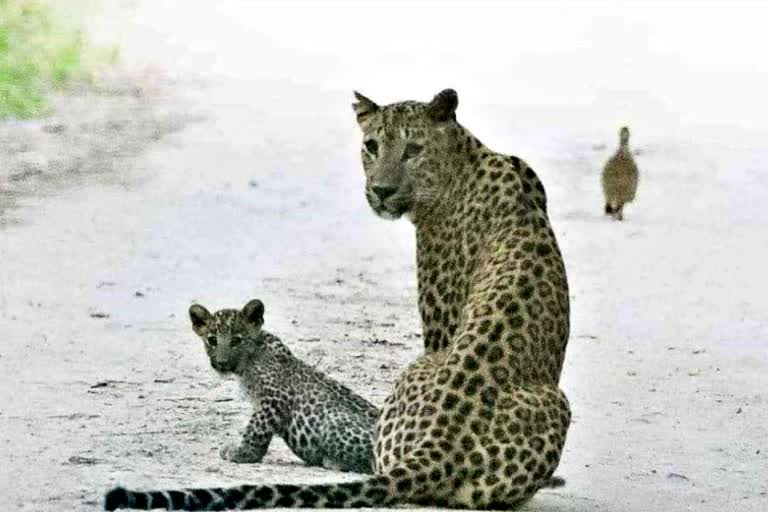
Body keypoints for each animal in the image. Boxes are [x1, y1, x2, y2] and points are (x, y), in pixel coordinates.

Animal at [103, 90, 568, 510]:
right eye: (371, 145)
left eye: (413, 149)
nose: (381, 190)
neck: (466, 158)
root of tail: (435, 452)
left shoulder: (441, 318)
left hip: (543, 398)